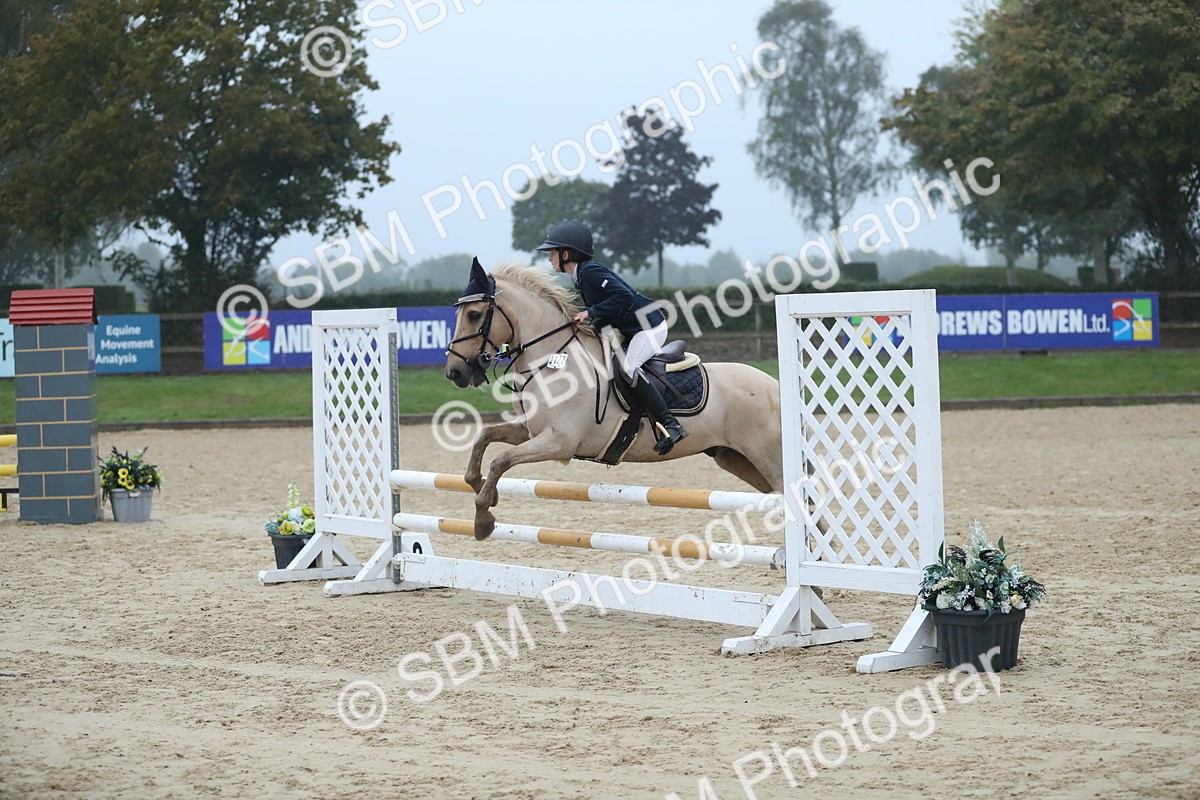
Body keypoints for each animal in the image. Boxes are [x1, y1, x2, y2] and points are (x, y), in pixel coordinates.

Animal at [444, 258, 783, 540]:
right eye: (458, 313)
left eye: (474, 314)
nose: (455, 372)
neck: (554, 359)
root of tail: (774, 386)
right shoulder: (530, 432)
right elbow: (483, 439)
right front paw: (484, 492)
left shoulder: (560, 442)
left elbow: (501, 460)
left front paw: (482, 519)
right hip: (735, 459)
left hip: (767, 458)